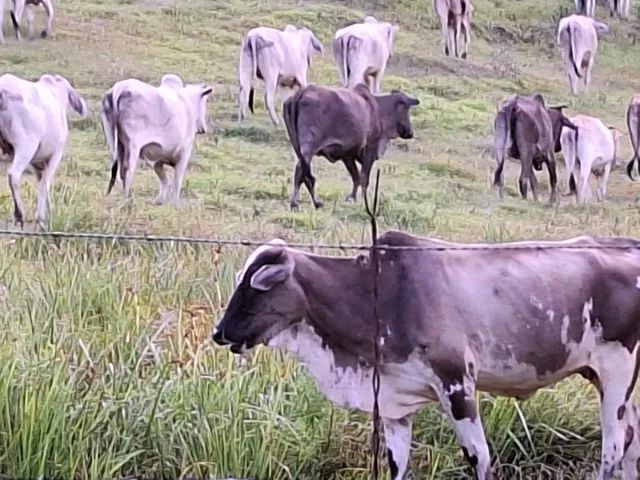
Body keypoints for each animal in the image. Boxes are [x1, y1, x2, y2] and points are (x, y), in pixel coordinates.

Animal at [0, 73, 87, 227]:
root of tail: (3, 90)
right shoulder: (55, 155)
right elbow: (45, 184)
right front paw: (42, 217)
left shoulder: (37, 163)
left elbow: (41, 183)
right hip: (26, 145)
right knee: (13, 175)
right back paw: (19, 214)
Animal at [100, 74, 213, 205]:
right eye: (205, 101)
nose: (203, 129)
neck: (186, 103)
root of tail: (120, 87)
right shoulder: (185, 151)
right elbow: (177, 180)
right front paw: (176, 204)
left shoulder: (157, 160)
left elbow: (164, 179)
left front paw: (160, 200)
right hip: (133, 145)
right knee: (127, 170)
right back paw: (128, 200)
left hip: (116, 144)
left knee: (119, 171)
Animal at [213, 230, 640, 480]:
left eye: (256, 288)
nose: (220, 332)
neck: (377, 293)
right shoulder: (392, 400)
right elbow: (397, 463)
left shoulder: (457, 382)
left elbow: (478, 457)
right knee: (632, 441)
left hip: (616, 370)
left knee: (613, 448)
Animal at [282, 83, 419, 211]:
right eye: (406, 110)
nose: (410, 133)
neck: (379, 109)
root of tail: (302, 92)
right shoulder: (370, 148)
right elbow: (364, 178)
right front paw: (364, 201)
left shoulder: (347, 155)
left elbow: (355, 176)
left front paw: (351, 198)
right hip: (308, 147)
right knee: (303, 173)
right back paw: (310, 203)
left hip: (298, 147)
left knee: (300, 173)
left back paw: (300, 203)